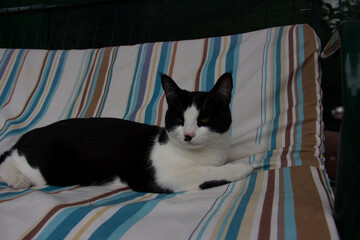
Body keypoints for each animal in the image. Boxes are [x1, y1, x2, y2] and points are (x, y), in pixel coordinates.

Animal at [0, 73, 256, 193]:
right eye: (179, 120)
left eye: (204, 120)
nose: (189, 135)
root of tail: (32, 133)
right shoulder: (159, 177)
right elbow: (207, 172)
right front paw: (242, 167)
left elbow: (227, 154)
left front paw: (254, 147)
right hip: (47, 168)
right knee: (7, 157)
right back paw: (17, 179)